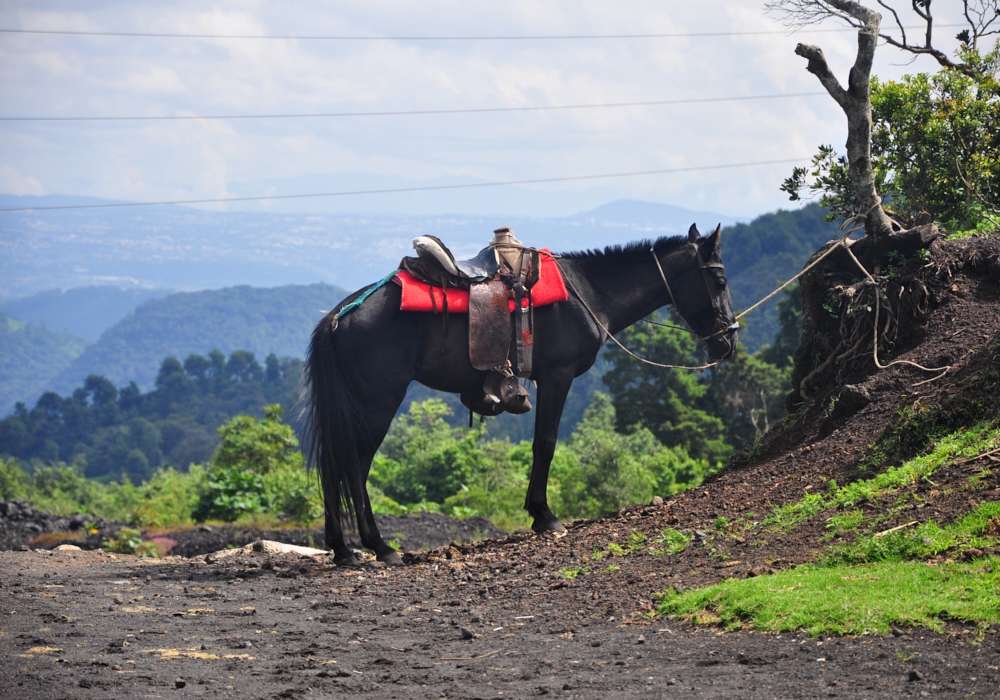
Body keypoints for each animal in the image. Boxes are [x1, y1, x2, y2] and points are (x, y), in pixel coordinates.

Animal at [308, 226, 740, 568]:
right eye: (719, 282)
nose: (729, 341)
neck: (588, 294)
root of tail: (339, 315)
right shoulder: (557, 376)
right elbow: (545, 444)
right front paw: (544, 515)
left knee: (334, 463)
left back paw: (343, 549)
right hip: (378, 402)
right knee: (355, 464)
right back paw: (379, 547)